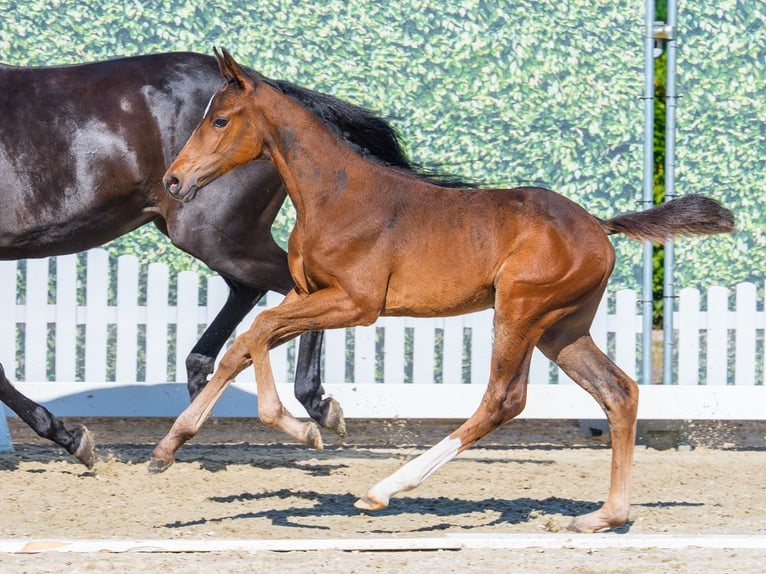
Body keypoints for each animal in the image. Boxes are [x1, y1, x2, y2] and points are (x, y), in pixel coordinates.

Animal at [0, 51, 436, 468]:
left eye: (219, 121)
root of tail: (268, 87)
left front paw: (73, 439)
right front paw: (70, 437)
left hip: (214, 234)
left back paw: (313, 404)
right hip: (217, 236)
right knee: (252, 293)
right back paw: (203, 385)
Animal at [151, 48, 734, 532]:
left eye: (220, 119)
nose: (173, 181)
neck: (334, 195)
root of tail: (597, 225)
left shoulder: (356, 304)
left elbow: (258, 330)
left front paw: (306, 429)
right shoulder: (306, 293)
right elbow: (242, 346)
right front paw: (167, 447)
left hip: (520, 311)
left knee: (504, 399)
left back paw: (384, 490)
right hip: (562, 329)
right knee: (619, 392)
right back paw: (604, 517)